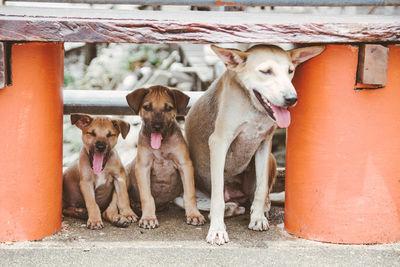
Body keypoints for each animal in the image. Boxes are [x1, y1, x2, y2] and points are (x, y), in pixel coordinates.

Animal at [126, 86, 206, 230]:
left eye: (168, 108)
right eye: (147, 107)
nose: (157, 127)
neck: (161, 146)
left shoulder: (185, 165)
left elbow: (189, 194)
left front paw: (194, 214)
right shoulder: (143, 167)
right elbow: (147, 196)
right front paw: (148, 218)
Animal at [186, 44, 324, 245]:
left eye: (290, 71)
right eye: (266, 71)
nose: (292, 98)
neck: (253, 109)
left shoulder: (264, 143)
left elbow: (261, 188)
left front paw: (257, 217)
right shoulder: (219, 143)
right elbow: (217, 197)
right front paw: (217, 229)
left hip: (271, 159)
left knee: (260, 194)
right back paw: (228, 208)